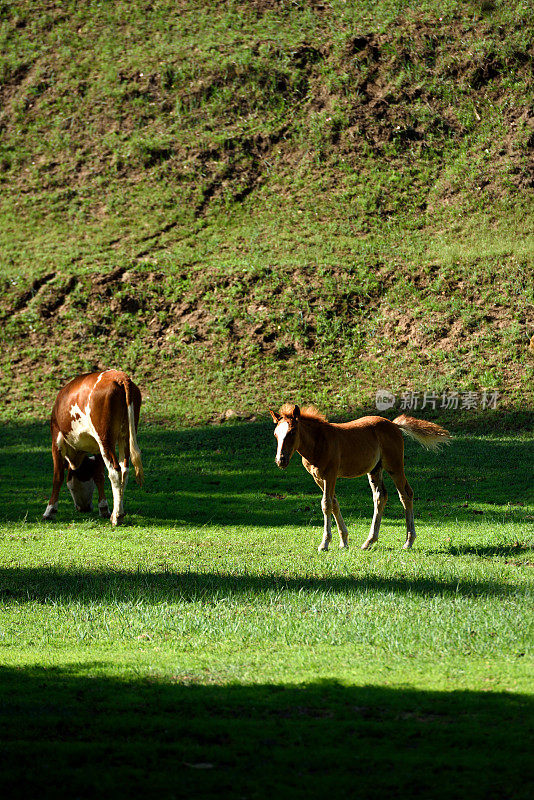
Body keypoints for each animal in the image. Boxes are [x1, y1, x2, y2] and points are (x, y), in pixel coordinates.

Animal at [43, 368, 144, 524]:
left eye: (71, 488)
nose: (84, 508)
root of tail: (119, 376)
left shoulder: (57, 439)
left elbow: (57, 476)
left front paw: (50, 511)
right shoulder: (97, 448)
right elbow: (99, 475)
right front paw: (103, 508)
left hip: (105, 437)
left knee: (115, 471)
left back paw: (117, 517)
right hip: (124, 436)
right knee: (124, 470)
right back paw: (118, 512)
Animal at [270, 406, 450, 552]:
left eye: (292, 432)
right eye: (275, 434)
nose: (280, 460)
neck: (318, 442)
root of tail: (393, 425)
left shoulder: (330, 475)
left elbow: (326, 504)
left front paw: (325, 543)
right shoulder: (318, 478)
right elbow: (334, 503)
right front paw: (343, 541)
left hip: (395, 466)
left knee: (406, 494)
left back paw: (408, 541)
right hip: (375, 470)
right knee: (380, 496)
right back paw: (369, 542)